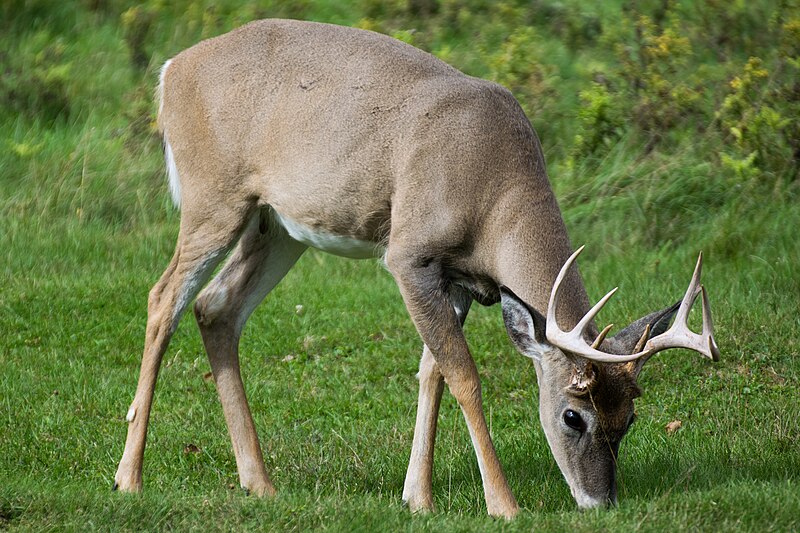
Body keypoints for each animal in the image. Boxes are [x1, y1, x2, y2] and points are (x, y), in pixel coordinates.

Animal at [112, 19, 720, 516]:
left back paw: (259, 483)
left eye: (630, 417)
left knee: (216, 307)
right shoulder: (409, 254)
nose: (601, 501)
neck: (494, 195)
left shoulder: (460, 281)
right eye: (574, 415)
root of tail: (172, 69)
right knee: (164, 298)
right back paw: (129, 479)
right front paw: (503, 505)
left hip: (277, 226)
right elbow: (465, 374)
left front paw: (417, 498)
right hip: (213, 197)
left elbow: (433, 371)